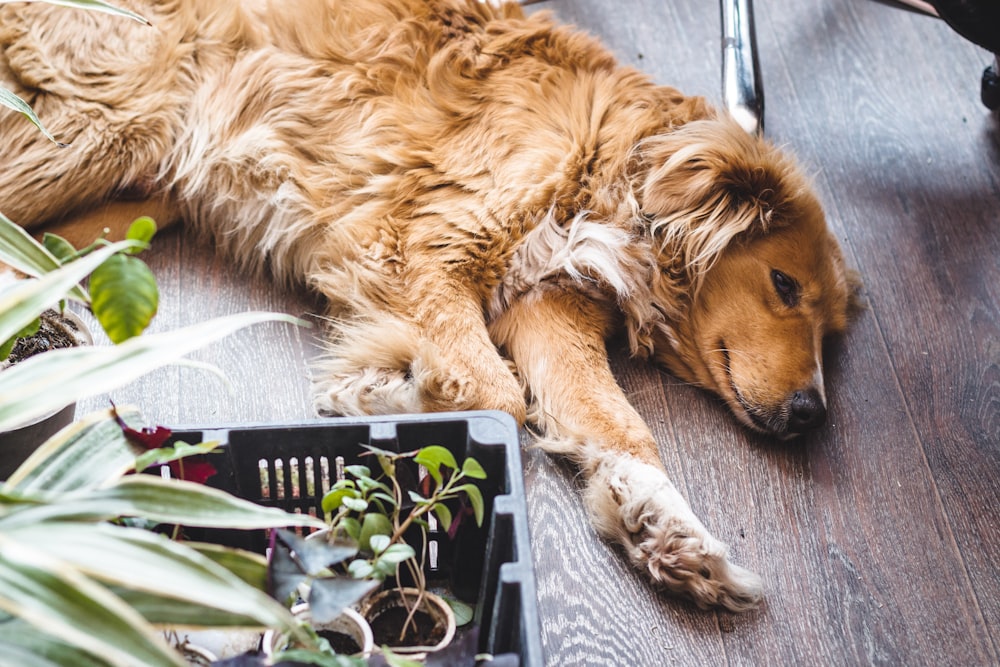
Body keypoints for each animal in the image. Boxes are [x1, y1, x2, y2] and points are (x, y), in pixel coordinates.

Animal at [1, 0, 860, 612]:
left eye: (827, 329)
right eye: (783, 286)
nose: (811, 413)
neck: (618, 170)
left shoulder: (549, 307)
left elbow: (618, 427)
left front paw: (669, 533)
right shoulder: (419, 249)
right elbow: (496, 395)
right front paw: (385, 392)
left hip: (139, 192)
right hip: (101, 123)